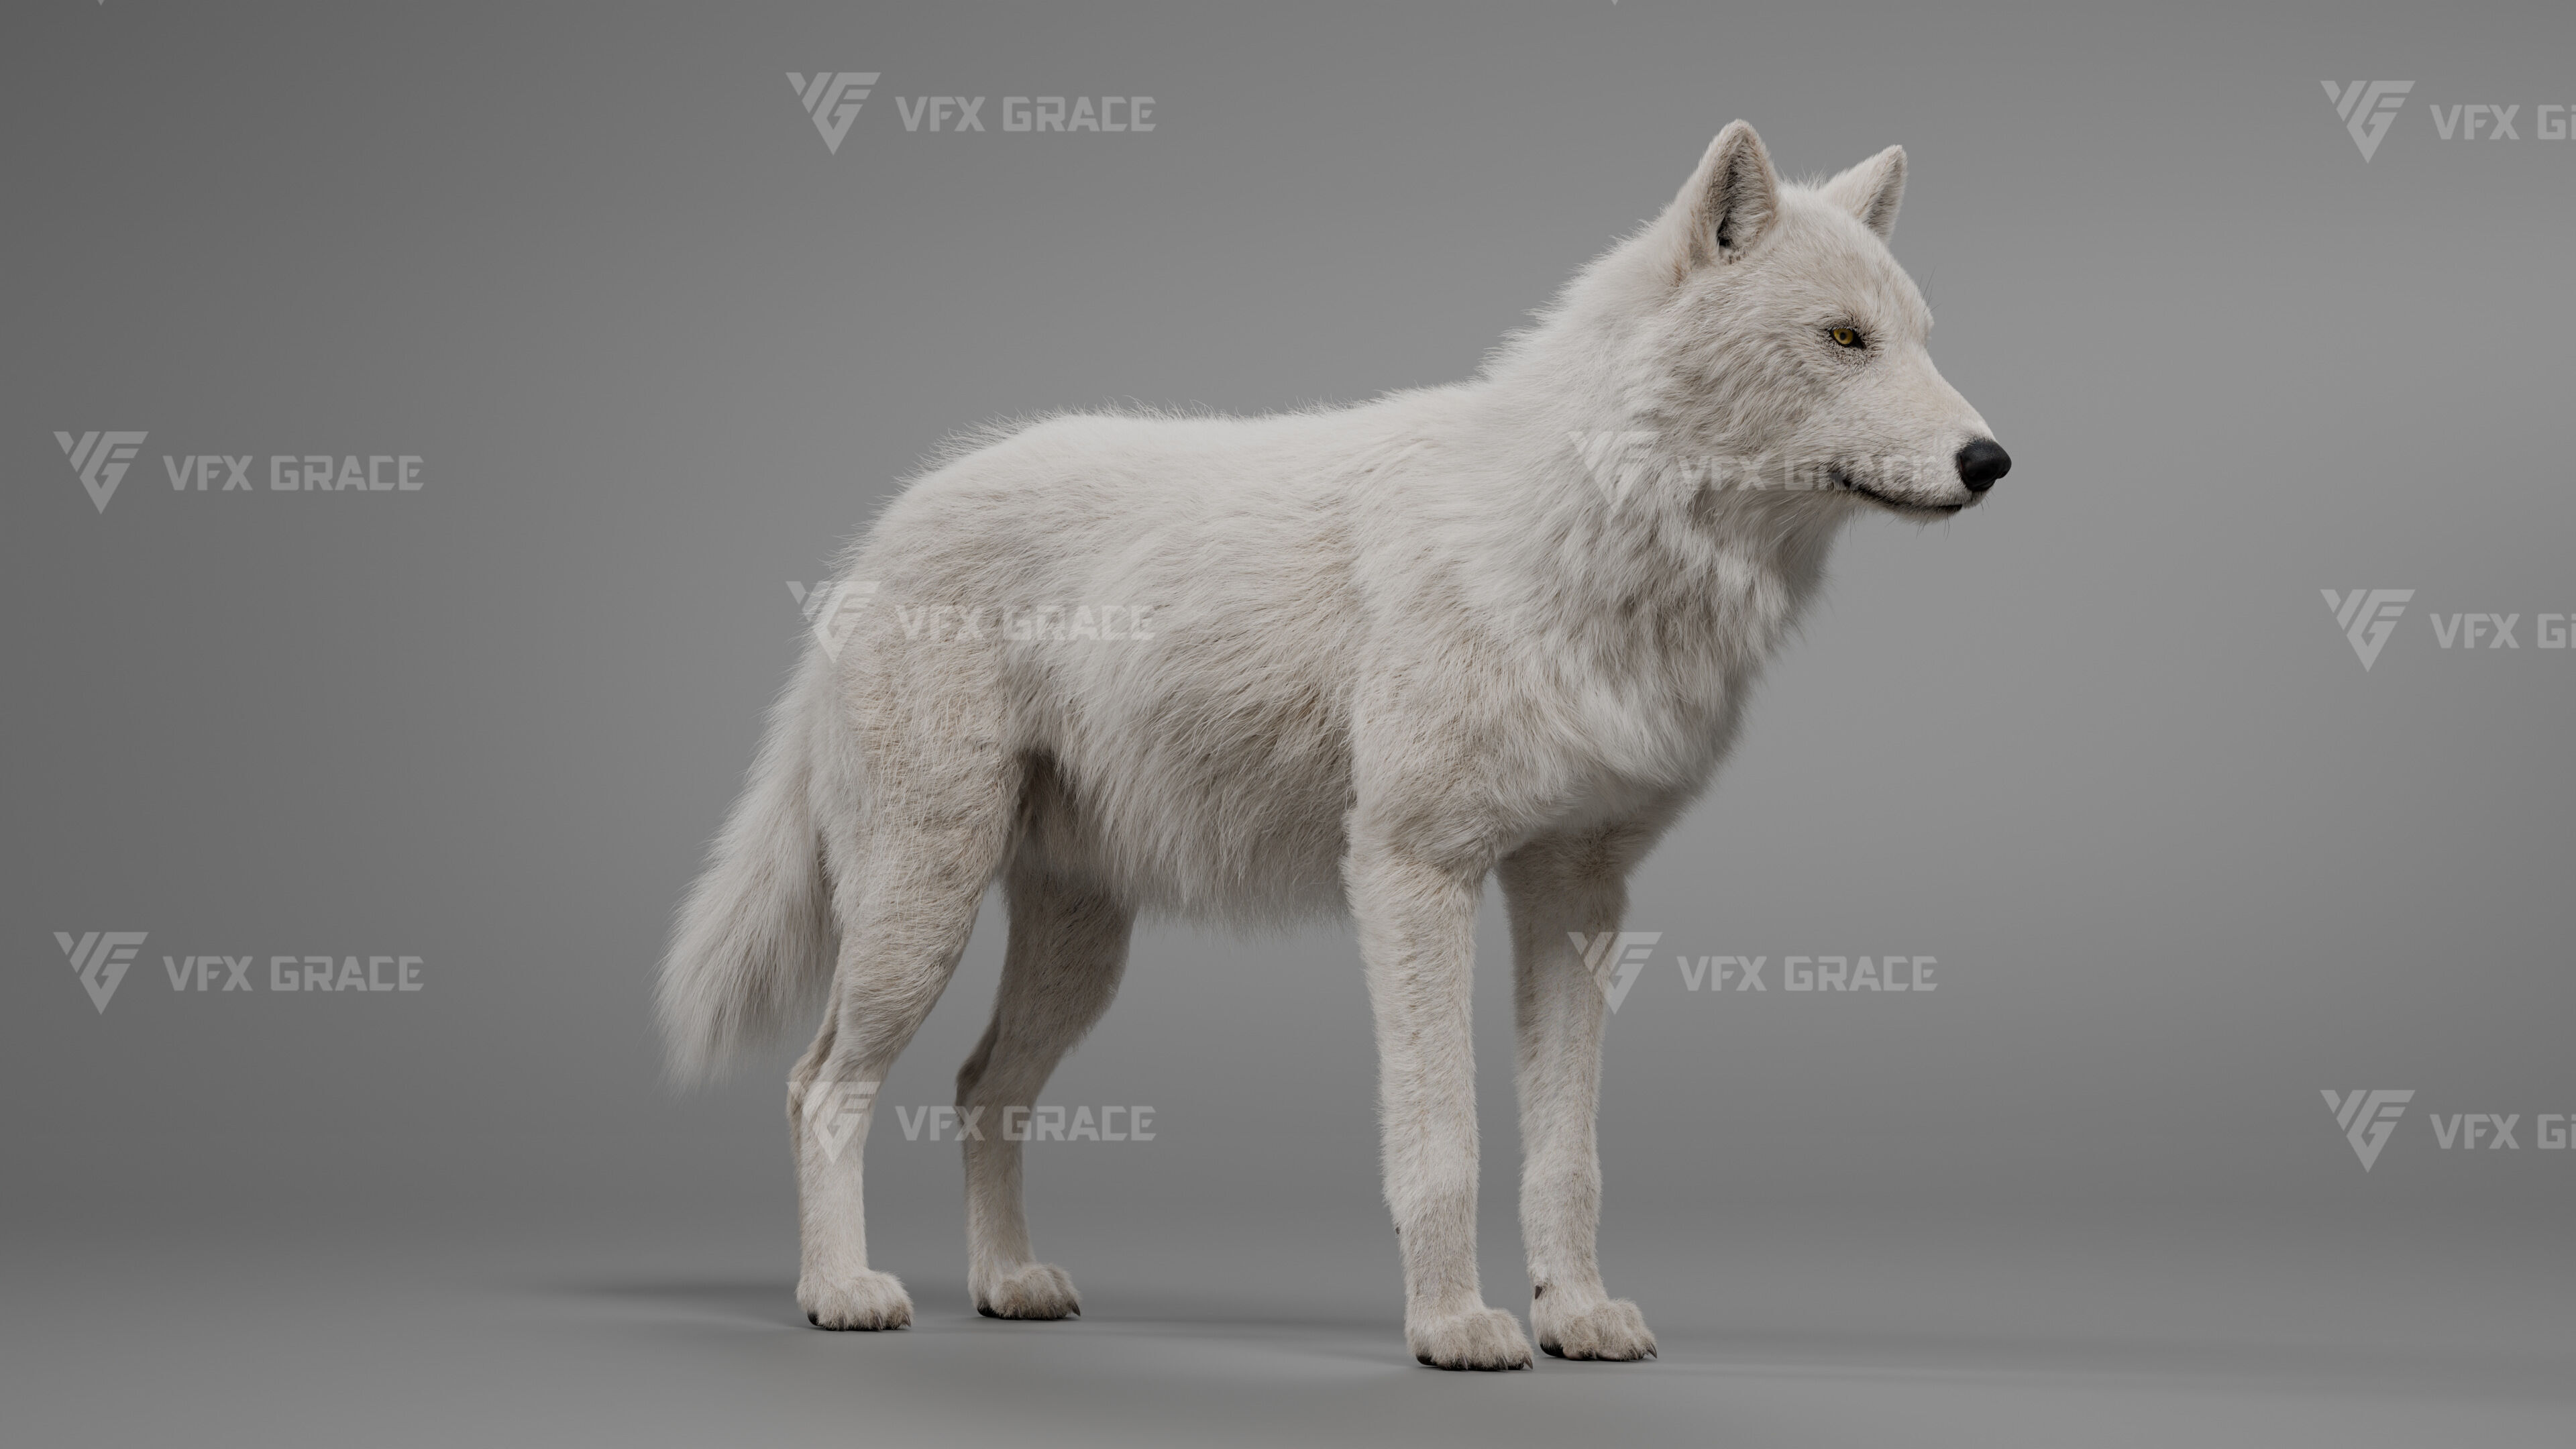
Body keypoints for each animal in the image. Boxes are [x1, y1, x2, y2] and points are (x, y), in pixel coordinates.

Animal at [659, 121, 2010, 1370]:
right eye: (1844, 339)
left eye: (1921, 337)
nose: (1992, 461)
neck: (1587, 548)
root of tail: (886, 524)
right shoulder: (1415, 873)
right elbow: (1446, 1142)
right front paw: (1455, 1328)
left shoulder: (1576, 896)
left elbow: (1566, 1156)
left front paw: (1573, 1317)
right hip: (923, 908)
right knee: (823, 1084)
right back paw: (843, 1294)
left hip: (1080, 950)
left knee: (980, 1087)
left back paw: (1007, 1285)